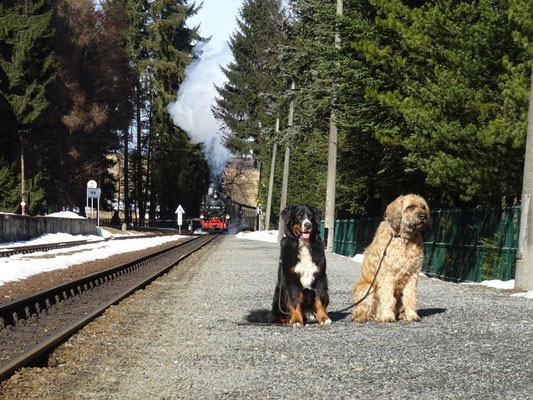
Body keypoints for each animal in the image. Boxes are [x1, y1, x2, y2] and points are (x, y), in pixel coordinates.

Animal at [352, 195, 430, 324]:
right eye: (410, 207)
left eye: (423, 207)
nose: (423, 216)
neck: (404, 238)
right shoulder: (387, 273)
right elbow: (388, 297)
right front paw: (388, 316)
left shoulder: (412, 275)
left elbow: (410, 297)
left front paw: (412, 315)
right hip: (366, 288)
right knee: (360, 312)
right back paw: (364, 317)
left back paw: (400, 315)